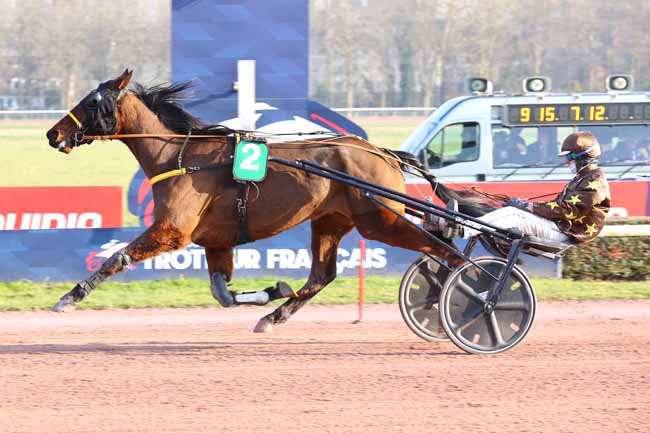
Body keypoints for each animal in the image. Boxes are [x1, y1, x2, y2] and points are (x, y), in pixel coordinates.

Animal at [45, 69, 488, 332]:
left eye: (91, 102)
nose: (53, 133)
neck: (180, 157)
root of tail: (382, 152)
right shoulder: (216, 240)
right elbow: (223, 294)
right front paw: (274, 290)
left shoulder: (173, 230)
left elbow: (116, 258)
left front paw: (68, 298)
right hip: (330, 221)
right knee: (321, 276)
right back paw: (274, 316)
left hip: (380, 220)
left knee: (445, 251)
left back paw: (474, 294)